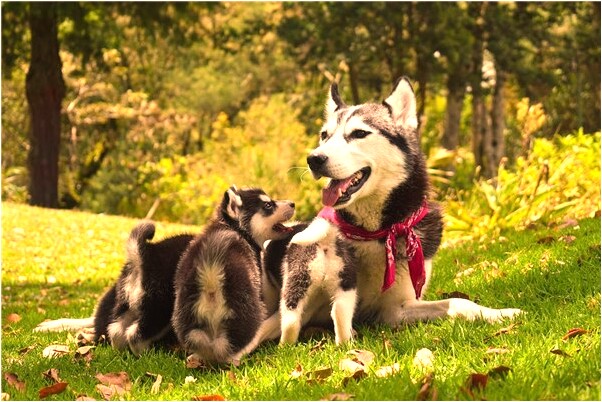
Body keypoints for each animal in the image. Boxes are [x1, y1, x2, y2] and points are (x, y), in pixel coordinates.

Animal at [171, 185, 296, 364]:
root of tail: (211, 277)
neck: (232, 227)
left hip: (187, 320)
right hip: (248, 312)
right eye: (268, 205)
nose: (293, 203)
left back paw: (196, 358)